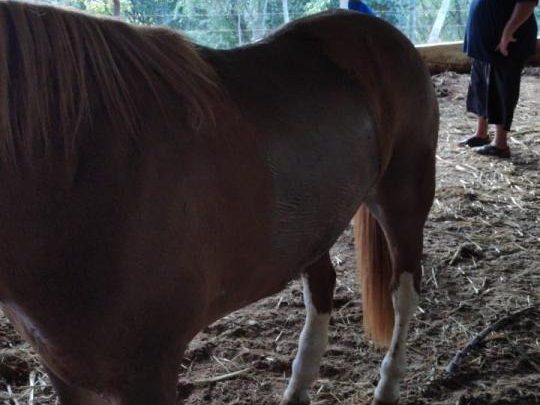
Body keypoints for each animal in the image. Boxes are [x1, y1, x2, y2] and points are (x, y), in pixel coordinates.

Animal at [0, 1, 438, 402]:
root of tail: (384, 34)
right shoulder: (64, 371)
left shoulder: (148, 373)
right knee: (322, 285)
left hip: (402, 204)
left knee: (404, 292)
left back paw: (386, 388)